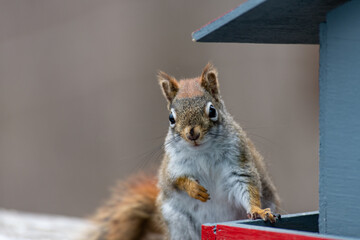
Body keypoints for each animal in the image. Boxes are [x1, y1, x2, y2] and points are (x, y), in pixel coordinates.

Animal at [86, 63, 280, 240]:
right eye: (171, 118)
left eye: (212, 110)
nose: (192, 133)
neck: (203, 151)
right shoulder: (173, 165)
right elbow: (174, 180)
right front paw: (194, 189)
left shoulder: (238, 160)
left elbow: (247, 187)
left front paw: (258, 210)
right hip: (178, 223)